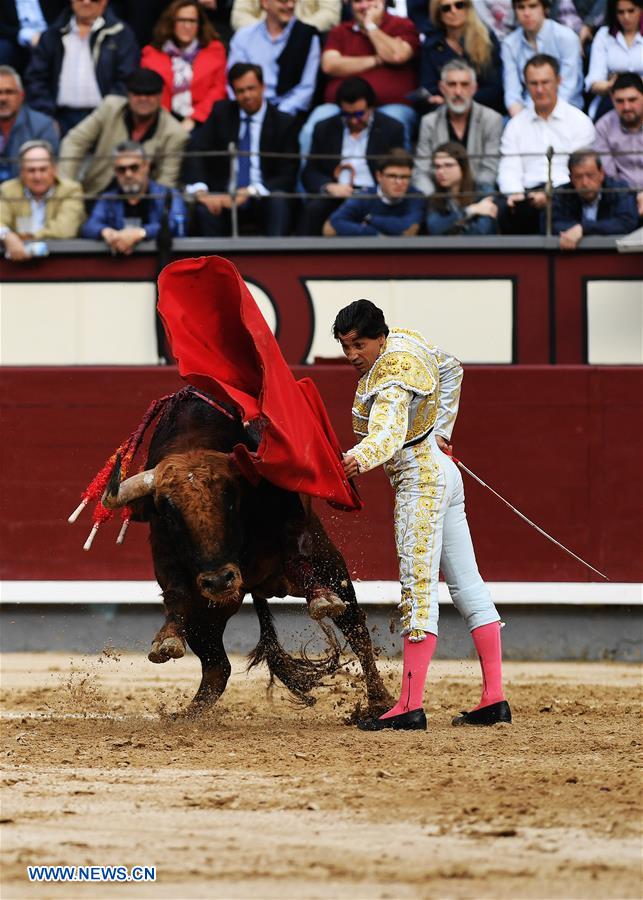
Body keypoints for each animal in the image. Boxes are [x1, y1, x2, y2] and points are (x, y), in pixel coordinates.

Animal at [102, 388, 392, 716]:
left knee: (357, 630)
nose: (219, 581)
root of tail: (257, 586)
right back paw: (184, 716)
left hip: (330, 565)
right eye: (171, 514)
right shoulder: (163, 545)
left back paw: (379, 699)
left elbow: (294, 546)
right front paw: (168, 639)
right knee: (217, 668)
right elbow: (175, 589)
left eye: (230, 500)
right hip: (208, 617)